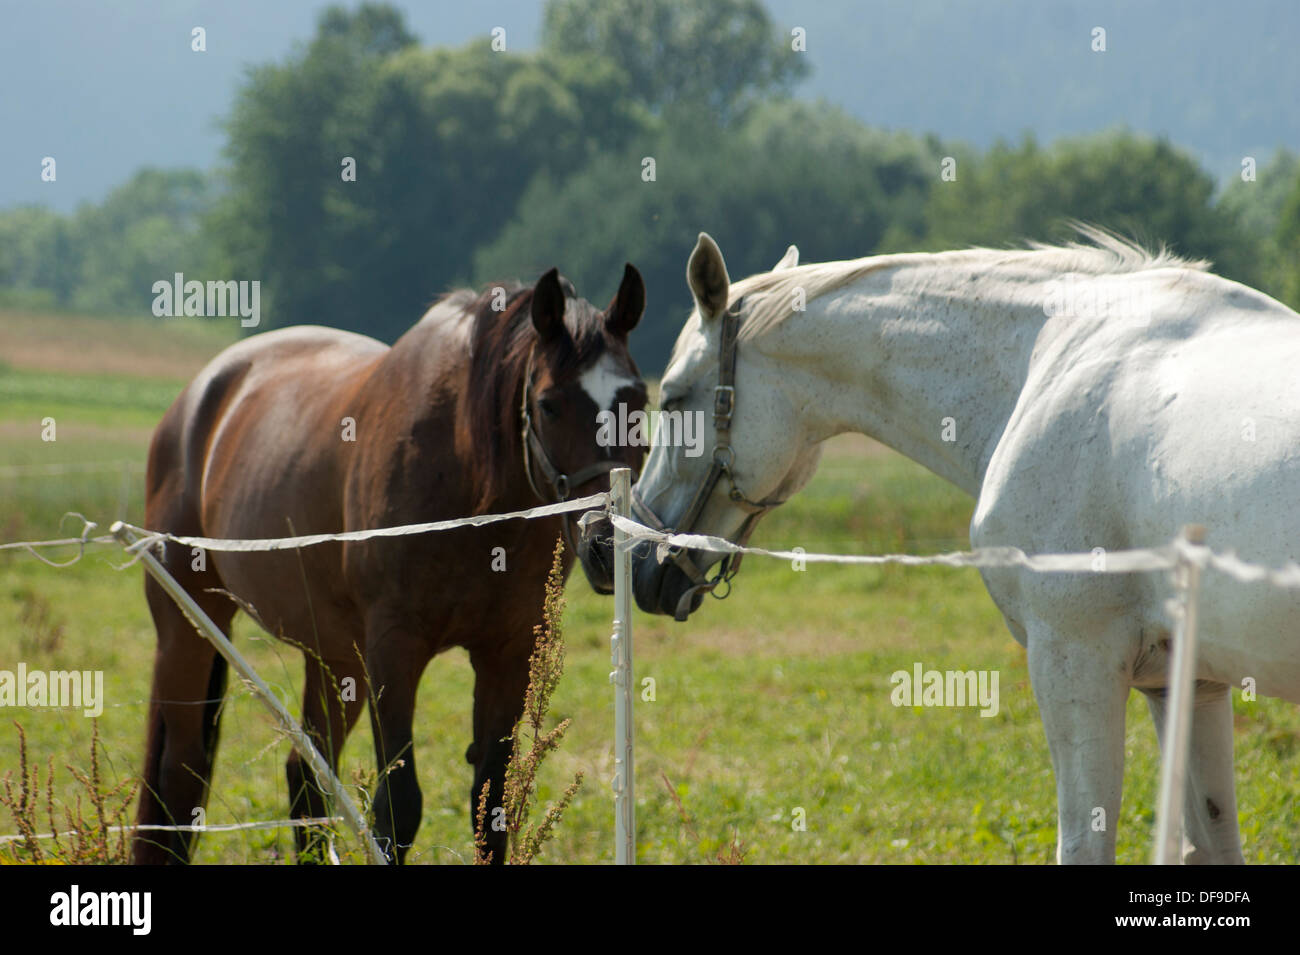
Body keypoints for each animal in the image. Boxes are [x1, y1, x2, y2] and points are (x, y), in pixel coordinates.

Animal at [134, 265, 647, 862]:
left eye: (637, 401)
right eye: (548, 403)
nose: (606, 544)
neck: (468, 478)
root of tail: (198, 398)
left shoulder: (508, 652)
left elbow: (492, 804)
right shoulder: (394, 647)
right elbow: (398, 807)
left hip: (334, 657)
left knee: (306, 779)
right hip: (187, 627)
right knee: (178, 775)